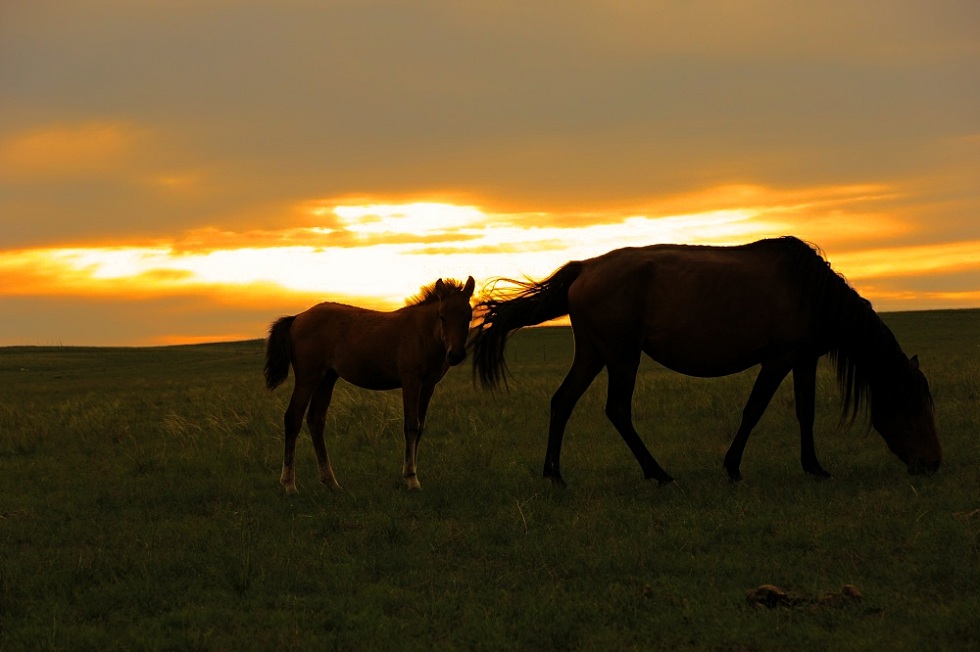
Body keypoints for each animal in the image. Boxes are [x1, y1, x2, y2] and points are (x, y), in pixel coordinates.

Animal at [262, 276, 472, 494]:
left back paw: (331, 482)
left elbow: (420, 427)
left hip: (327, 378)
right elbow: (411, 426)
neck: (422, 333)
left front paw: (412, 475)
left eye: (469, 316)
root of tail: (298, 317)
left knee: (316, 420)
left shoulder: (428, 387)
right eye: (442, 316)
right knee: (293, 418)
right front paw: (411, 480)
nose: (455, 355)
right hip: (307, 378)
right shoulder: (411, 383)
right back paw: (289, 485)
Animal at [474, 238, 940, 484]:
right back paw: (657, 472)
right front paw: (732, 467)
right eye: (916, 406)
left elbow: (805, 412)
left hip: (594, 354)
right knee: (617, 410)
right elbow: (754, 411)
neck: (810, 290)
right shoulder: (778, 360)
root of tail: (584, 267)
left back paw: (554, 474)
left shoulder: (803, 359)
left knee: (562, 402)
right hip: (622, 357)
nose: (933, 463)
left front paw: (814, 467)